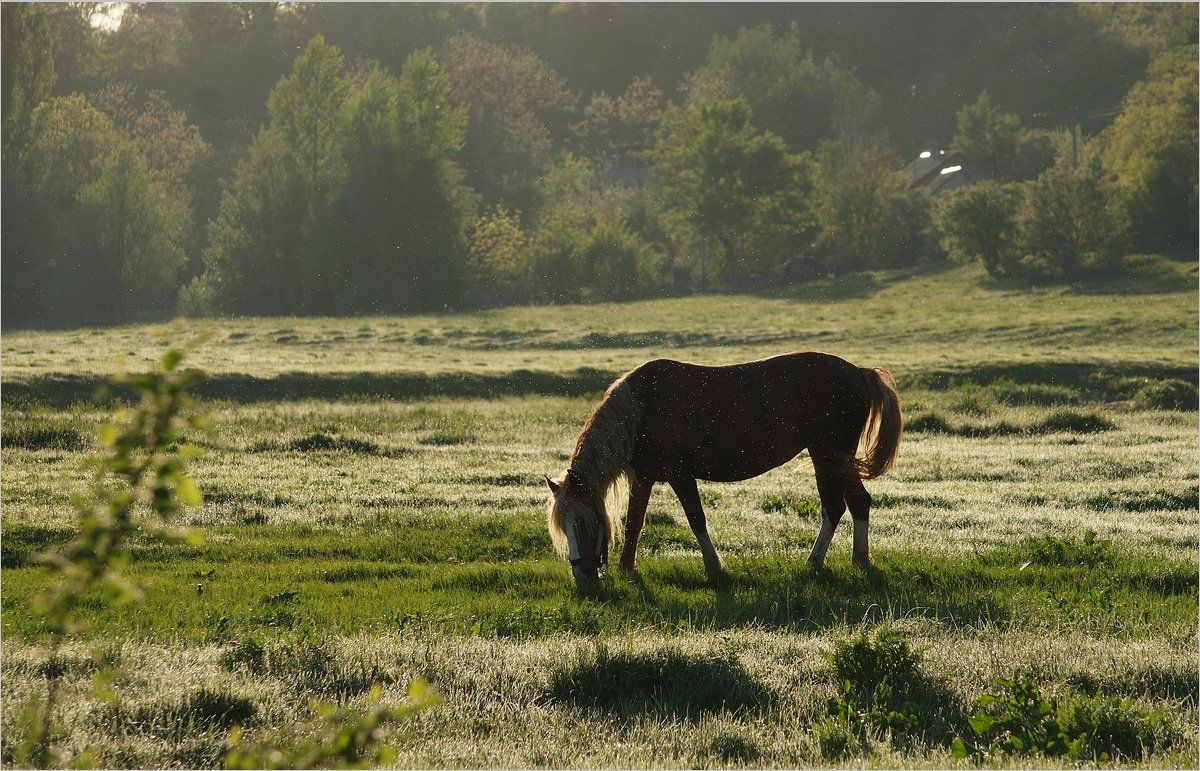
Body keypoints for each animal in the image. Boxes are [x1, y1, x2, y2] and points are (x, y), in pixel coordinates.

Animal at [544, 353, 902, 581]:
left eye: (583, 521)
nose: (582, 575)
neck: (641, 410)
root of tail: (860, 372)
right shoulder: (644, 479)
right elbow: (634, 523)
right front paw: (627, 568)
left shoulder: (680, 475)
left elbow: (696, 519)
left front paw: (714, 567)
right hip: (828, 458)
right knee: (842, 506)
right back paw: (828, 561)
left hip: (829, 456)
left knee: (850, 503)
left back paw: (845, 560)